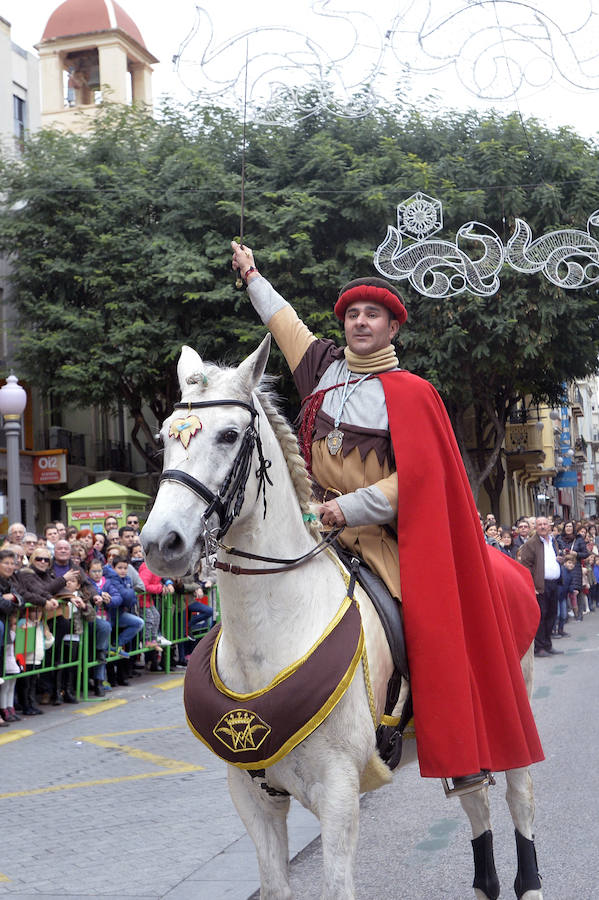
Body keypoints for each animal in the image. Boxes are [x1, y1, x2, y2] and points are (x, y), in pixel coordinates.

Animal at [141, 338, 544, 900]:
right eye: (164, 437)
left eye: (229, 435)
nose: (162, 543)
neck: (272, 635)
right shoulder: (252, 795)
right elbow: (275, 886)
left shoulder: (338, 792)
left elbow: (337, 885)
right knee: (476, 800)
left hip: (511, 705)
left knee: (518, 797)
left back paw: (529, 882)